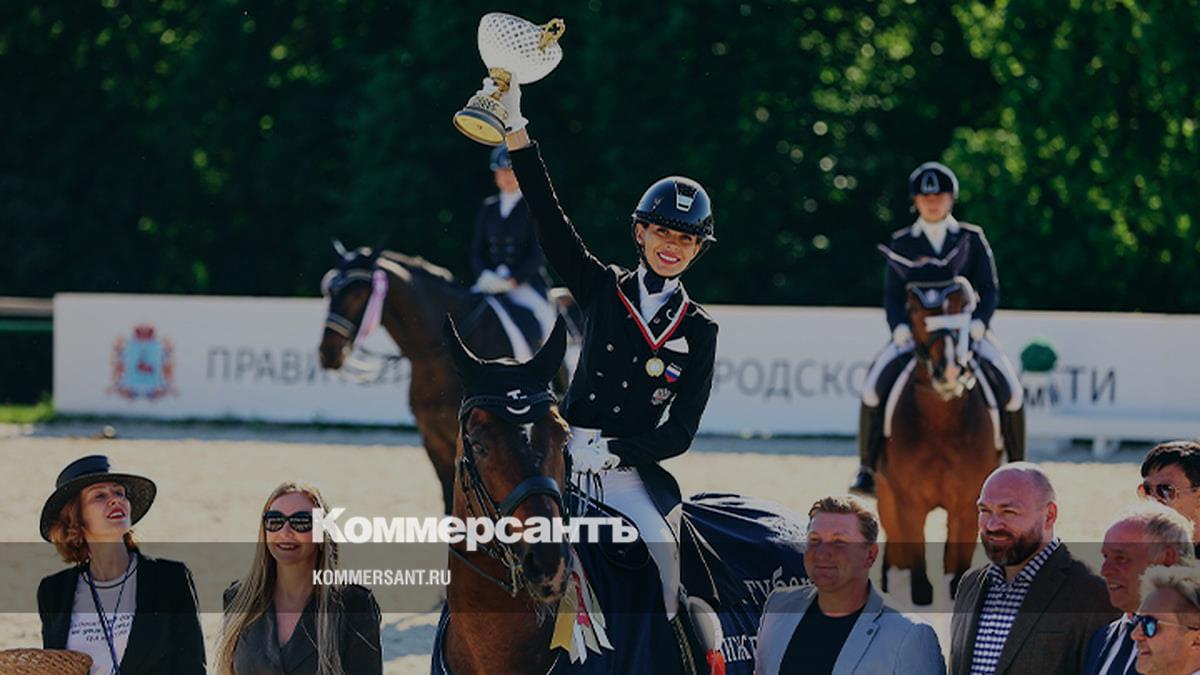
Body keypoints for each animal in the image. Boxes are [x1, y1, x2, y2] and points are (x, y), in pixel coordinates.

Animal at [875, 273, 1001, 606]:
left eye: (963, 309)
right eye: (916, 313)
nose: (950, 371)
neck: (941, 420)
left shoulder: (968, 503)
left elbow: (957, 574)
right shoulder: (908, 503)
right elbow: (919, 581)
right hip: (885, 496)